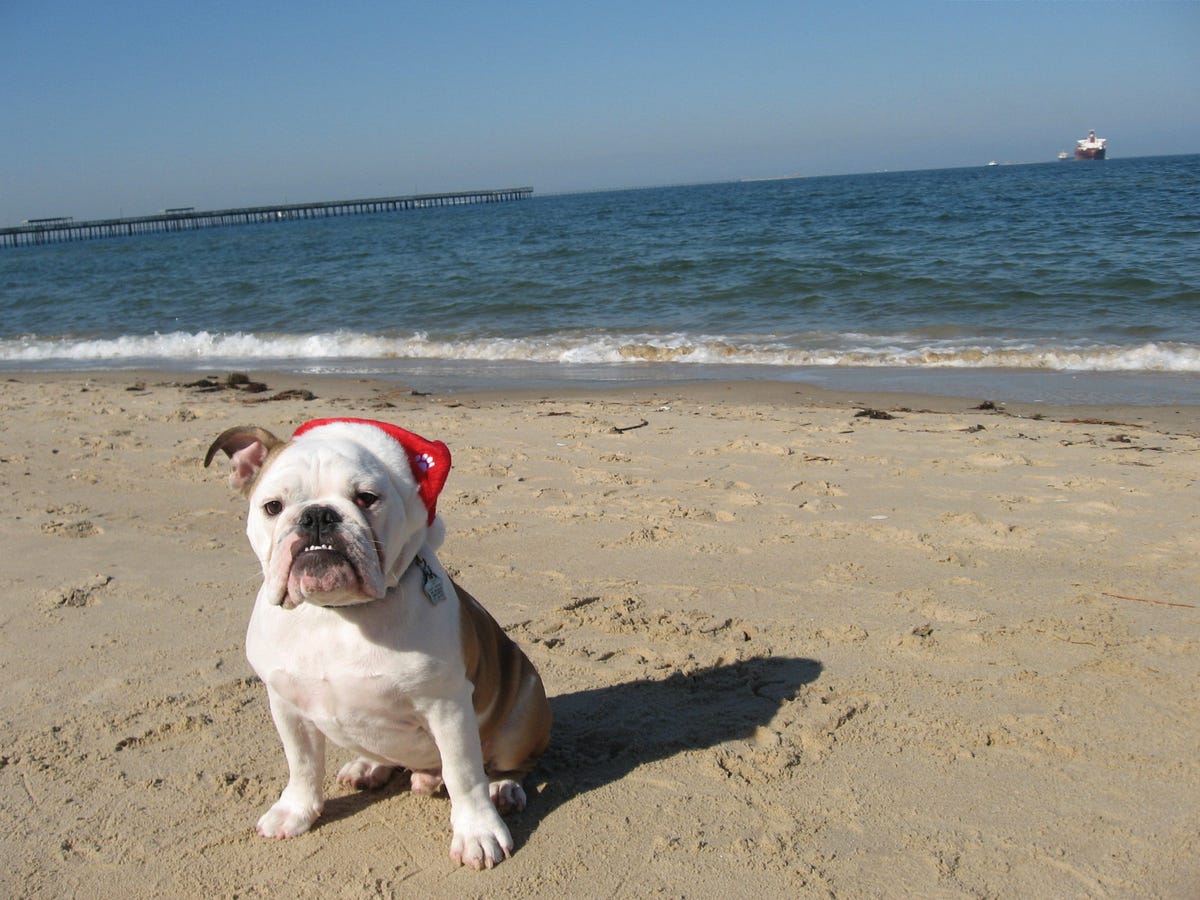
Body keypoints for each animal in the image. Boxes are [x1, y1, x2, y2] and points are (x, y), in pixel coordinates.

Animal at [207, 420, 552, 868]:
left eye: (366, 498)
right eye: (273, 507)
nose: (317, 516)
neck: (336, 613)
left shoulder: (448, 708)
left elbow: (464, 774)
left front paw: (477, 832)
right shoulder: (286, 704)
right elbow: (301, 763)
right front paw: (295, 811)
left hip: (523, 709)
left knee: (506, 764)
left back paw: (503, 788)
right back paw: (368, 766)